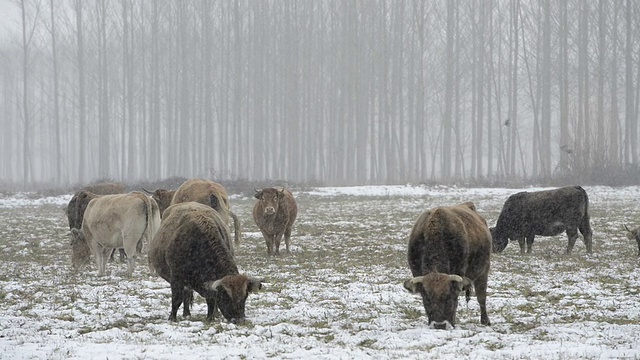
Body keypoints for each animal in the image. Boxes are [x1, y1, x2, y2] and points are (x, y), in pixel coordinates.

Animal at [402, 202, 492, 330]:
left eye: (449, 297)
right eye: (426, 298)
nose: (439, 325)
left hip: (483, 271)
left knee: (481, 296)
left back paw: (485, 320)